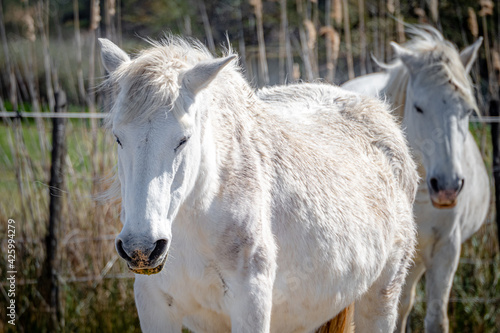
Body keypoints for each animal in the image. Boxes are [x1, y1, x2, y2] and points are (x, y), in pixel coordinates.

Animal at [98, 36, 418, 332]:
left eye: (183, 139)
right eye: (118, 137)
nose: (142, 248)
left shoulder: (251, 305)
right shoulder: (154, 307)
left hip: (382, 297)